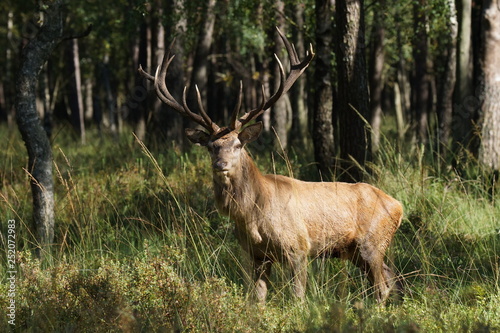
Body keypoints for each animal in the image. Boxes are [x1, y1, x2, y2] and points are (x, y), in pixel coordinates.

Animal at [139, 27, 404, 304]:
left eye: (238, 144)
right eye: (211, 146)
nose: (220, 164)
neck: (253, 214)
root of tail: (398, 207)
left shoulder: (299, 247)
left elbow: (298, 298)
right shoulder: (255, 255)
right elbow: (258, 299)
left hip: (371, 243)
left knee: (382, 286)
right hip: (356, 251)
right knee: (391, 279)